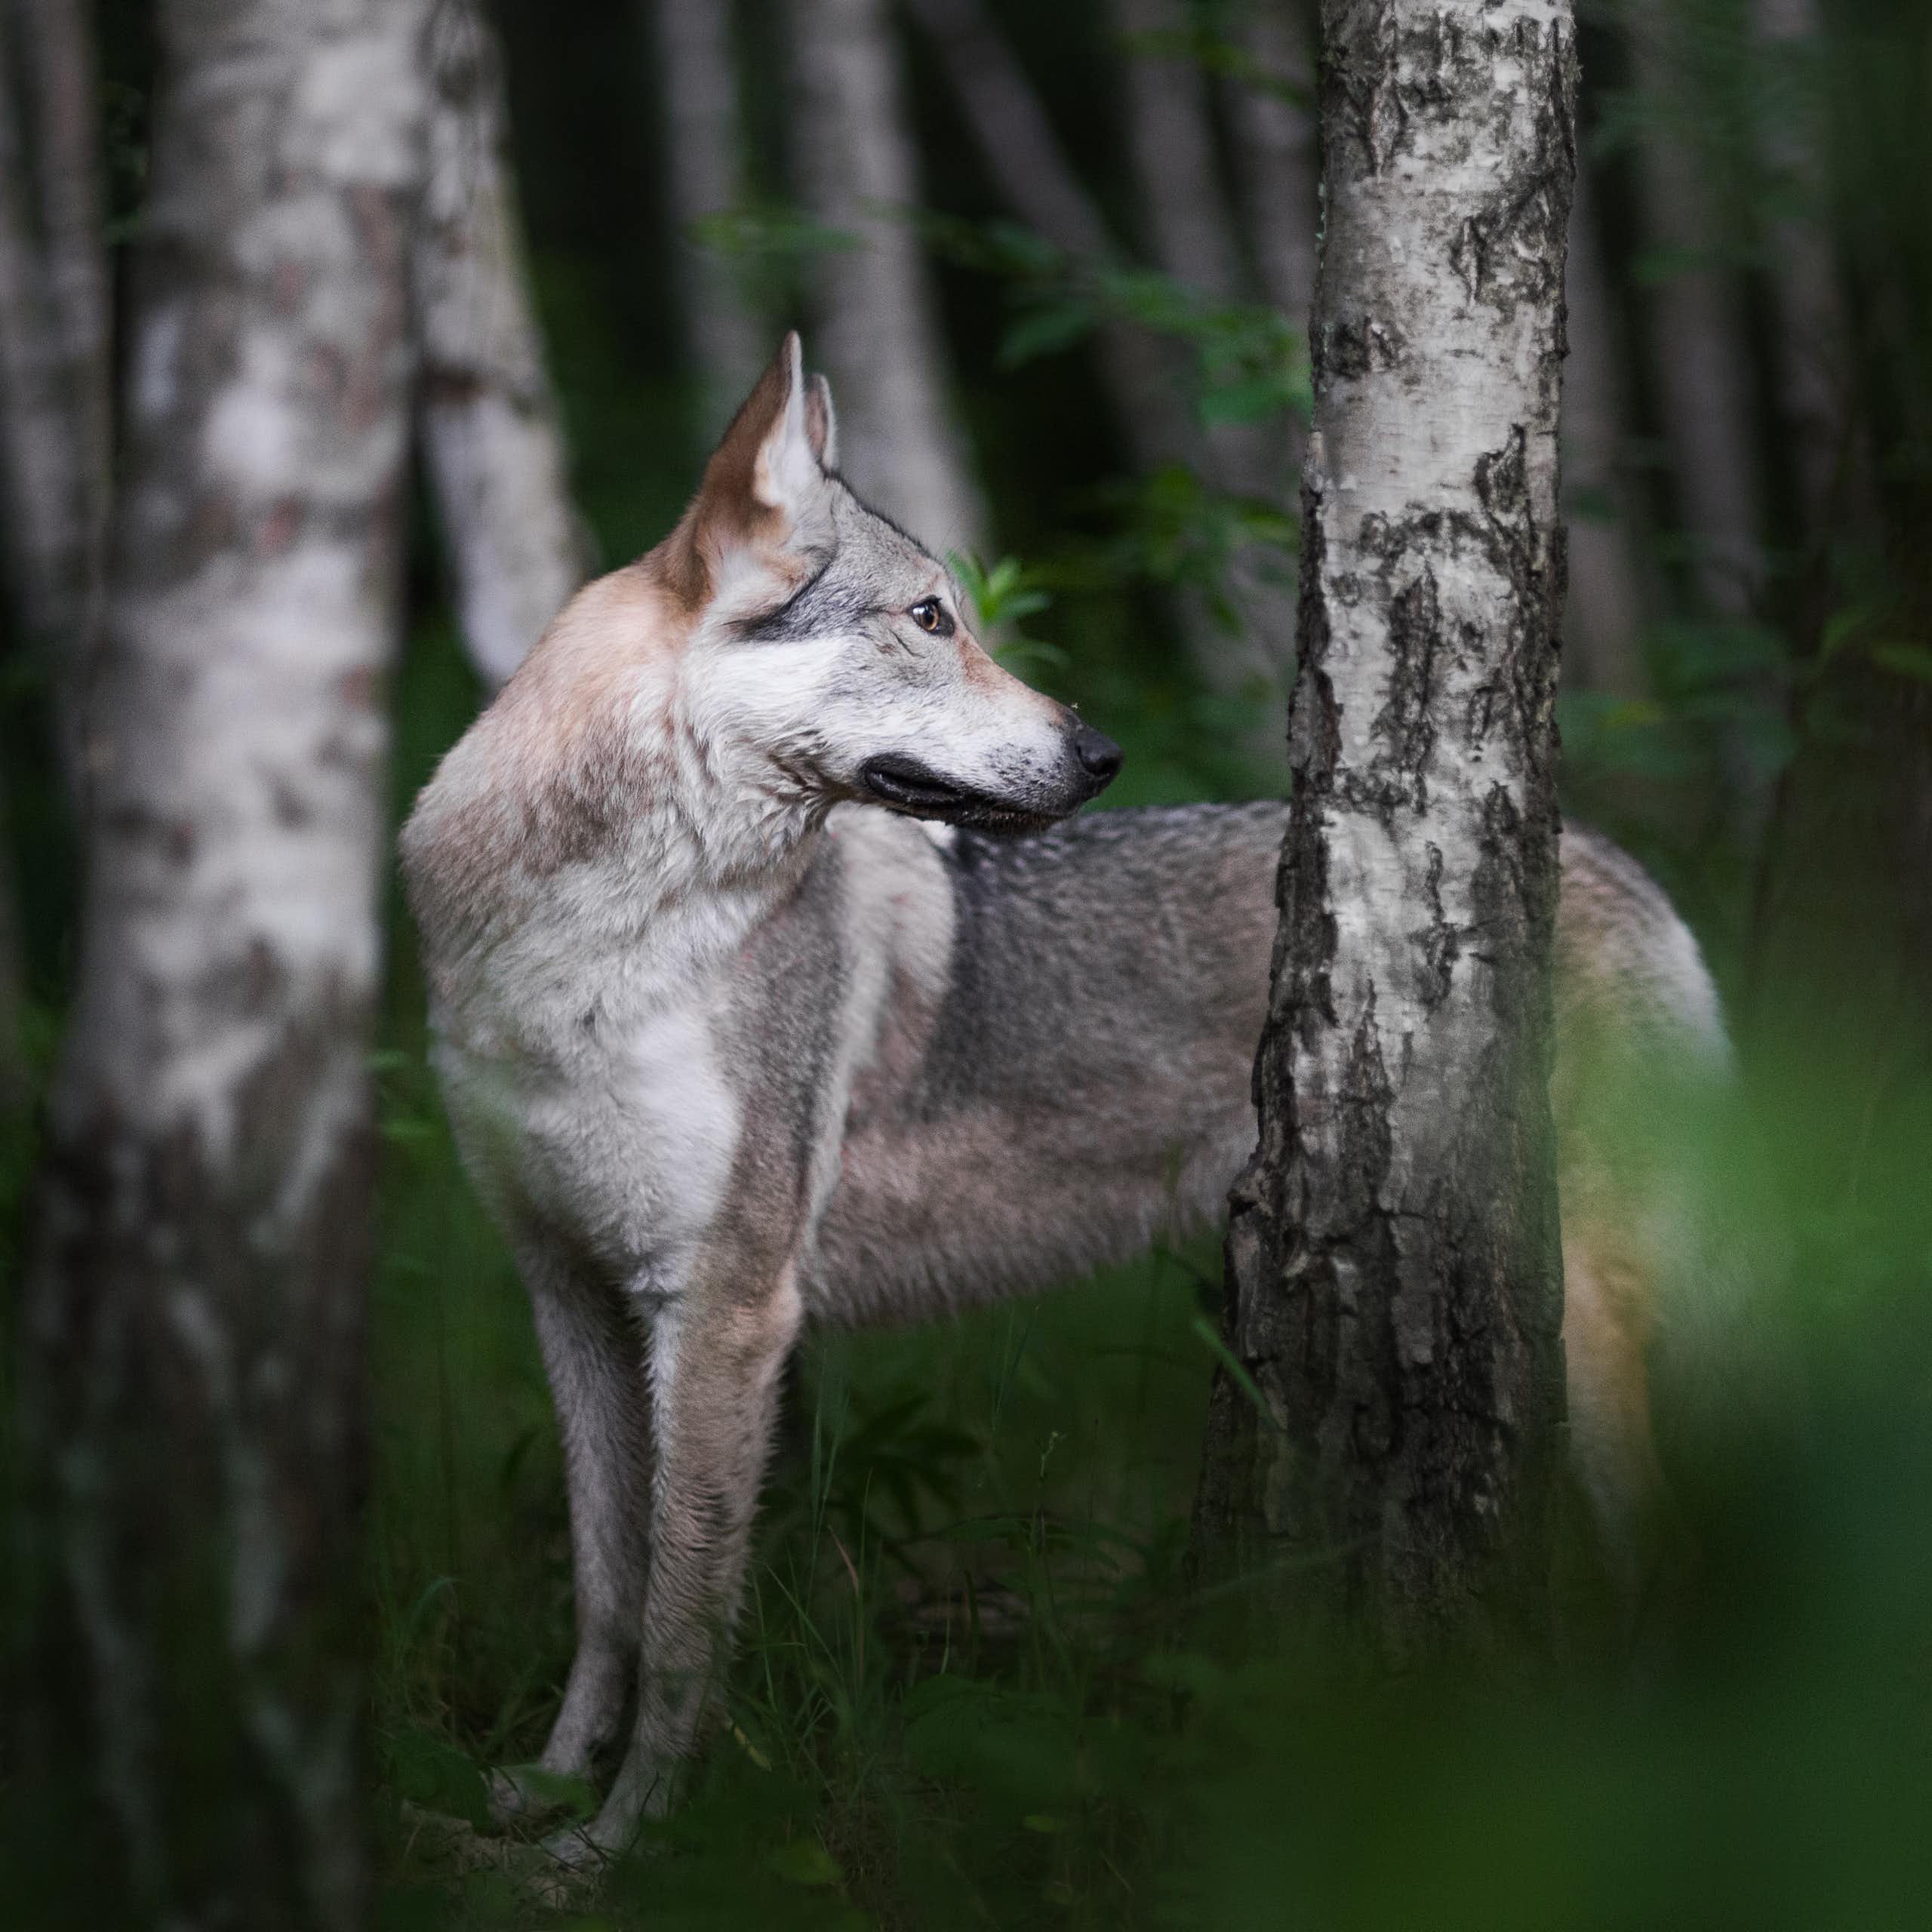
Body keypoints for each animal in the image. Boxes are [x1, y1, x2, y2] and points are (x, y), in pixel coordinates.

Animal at [401, 334, 1730, 1860]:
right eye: (930, 617)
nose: (1100, 755)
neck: (583, 942)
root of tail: (1618, 864)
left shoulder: (727, 1309)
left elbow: (684, 1624)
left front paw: (618, 1848)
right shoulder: (568, 1289)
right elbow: (610, 1594)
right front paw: (545, 1793)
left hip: (1597, 1327)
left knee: (1669, 1552)